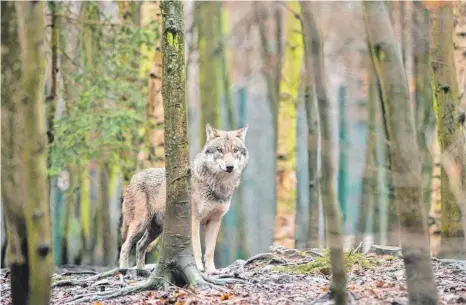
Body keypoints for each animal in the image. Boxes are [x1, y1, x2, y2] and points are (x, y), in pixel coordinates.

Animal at [119, 122, 248, 272]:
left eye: (235, 150)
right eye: (220, 150)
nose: (230, 167)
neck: (218, 185)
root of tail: (133, 177)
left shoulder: (215, 221)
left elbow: (210, 250)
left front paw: (211, 271)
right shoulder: (194, 220)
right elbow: (197, 248)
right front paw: (198, 268)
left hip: (155, 230)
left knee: (140, 245)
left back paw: (141, 270)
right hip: (140, 224)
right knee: (125, 246)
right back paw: (124, 270)